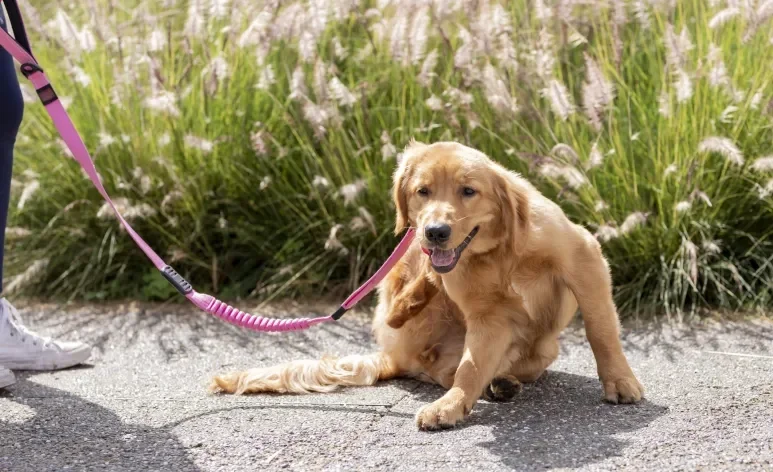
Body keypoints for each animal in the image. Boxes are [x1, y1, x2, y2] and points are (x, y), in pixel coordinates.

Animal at [208, 138, 644, 430]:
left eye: (468, 191)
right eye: (423, 191)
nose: (436, 231)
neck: (500, 251)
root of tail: (393, 356)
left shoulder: (584, 258)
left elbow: (601, 329)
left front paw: (620, 380)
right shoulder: (488, 317)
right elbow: (470, 369)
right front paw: (451, 406)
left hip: (543, 346)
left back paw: (502, 381)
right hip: (405, 267)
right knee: (407, 320)